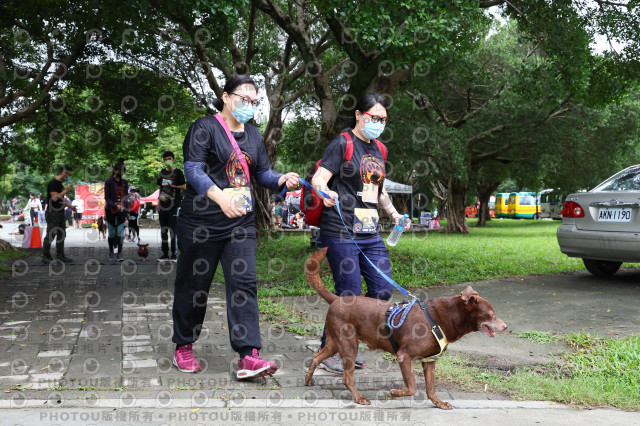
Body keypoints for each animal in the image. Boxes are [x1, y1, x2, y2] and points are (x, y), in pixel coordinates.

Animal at [302, 248, 508, 408]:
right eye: (491, 314)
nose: (506, 326)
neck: (440, 319)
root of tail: (336, 299)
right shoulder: (405, 356)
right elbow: (413, 387)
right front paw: (394, 393)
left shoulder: (429, 361)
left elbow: (430, 388)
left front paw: (439, 403)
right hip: (349, 344)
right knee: (346, 377)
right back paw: (359, 398)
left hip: (335, 343)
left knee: (316, 356)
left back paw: (309, 379)